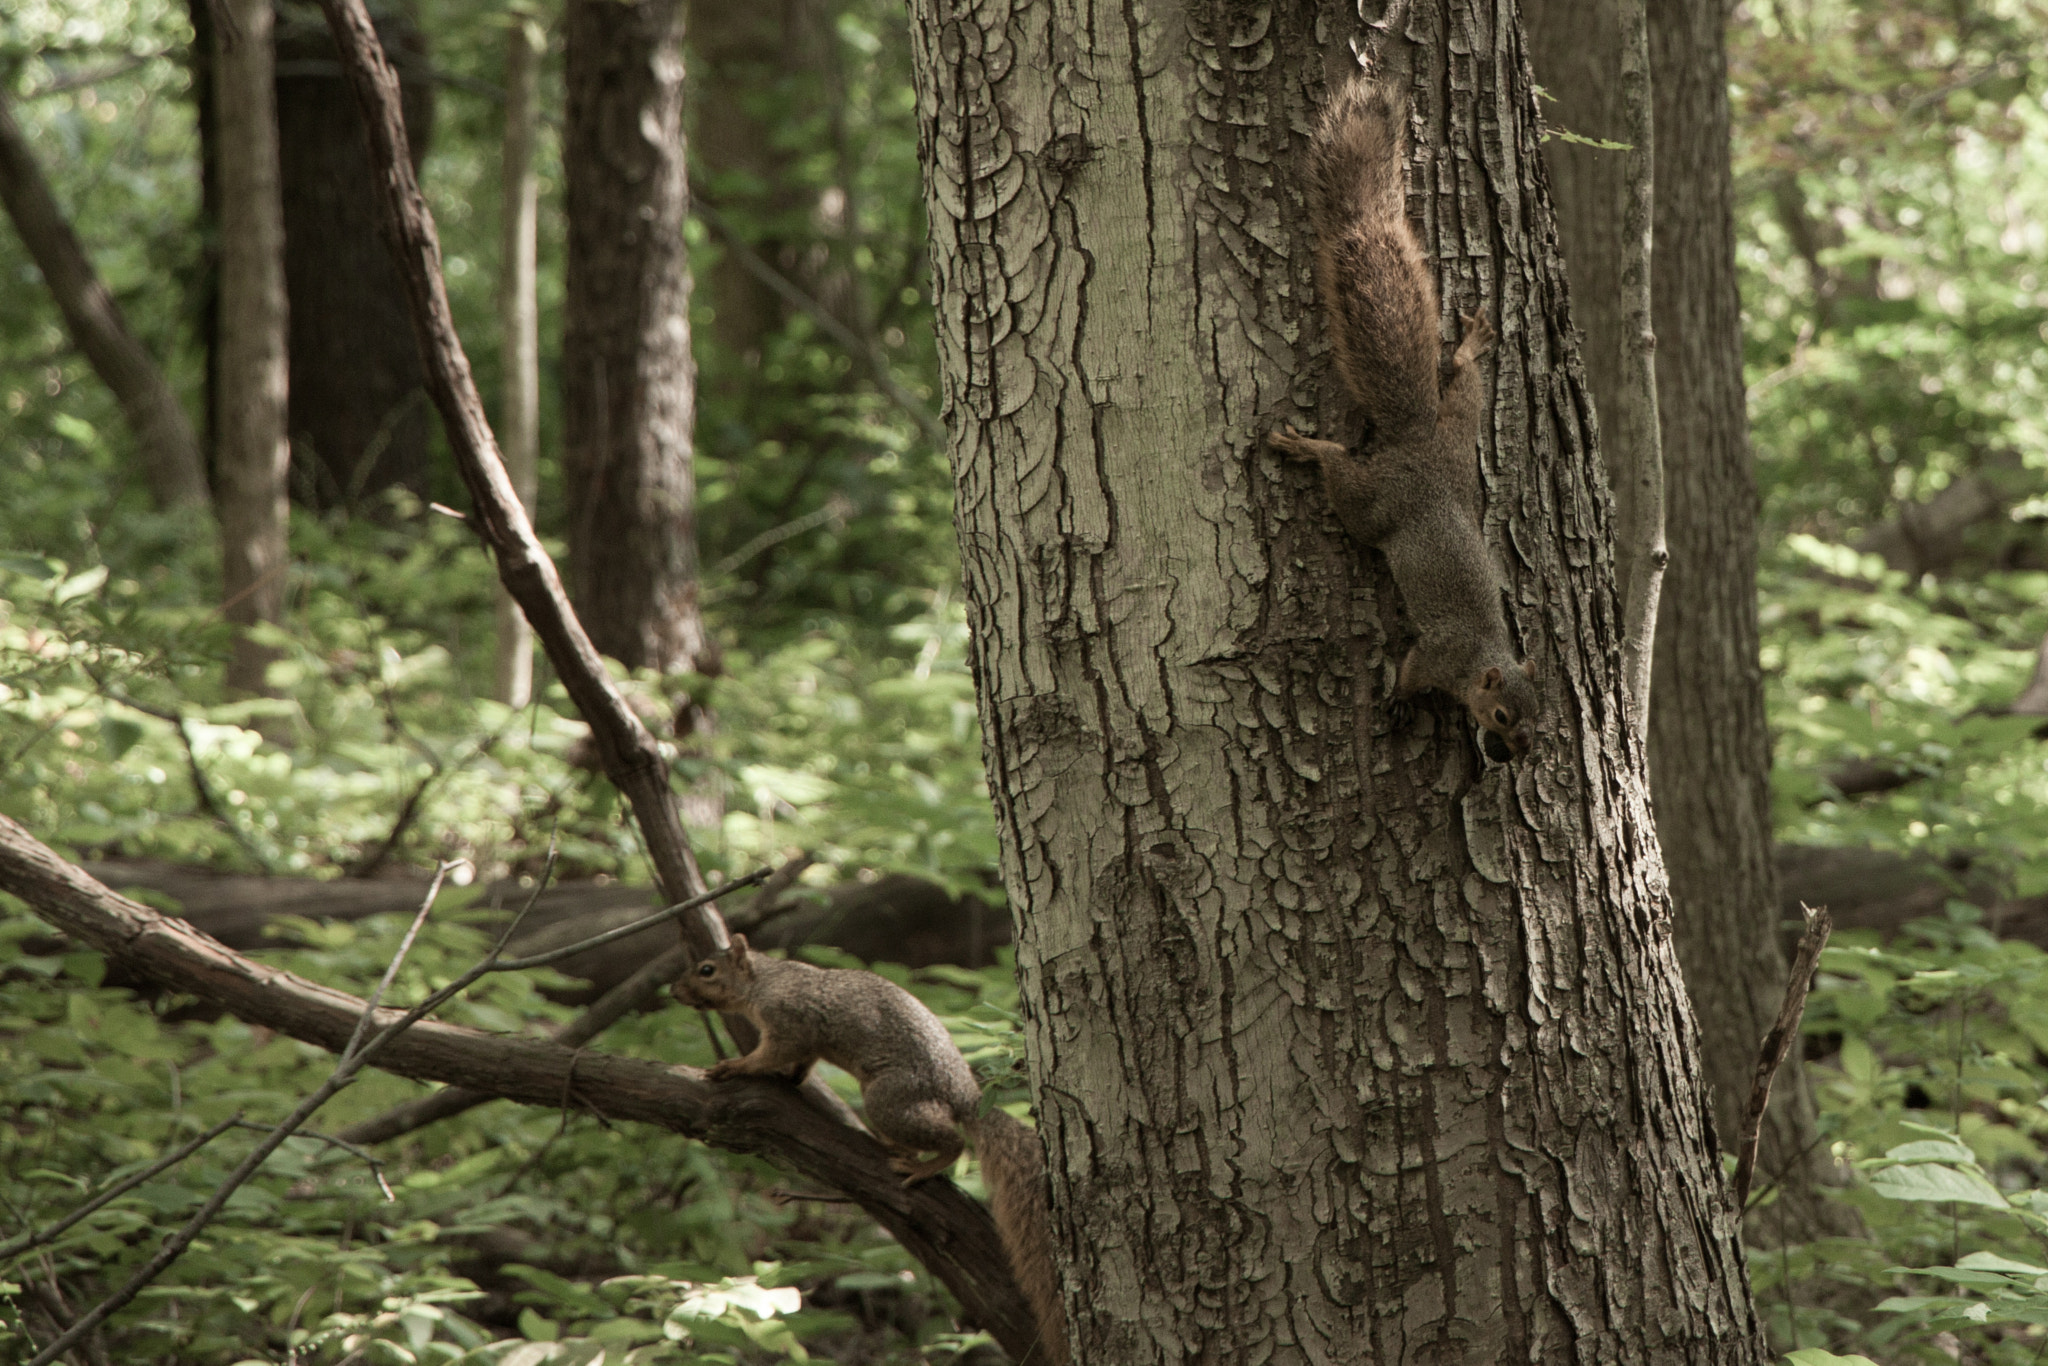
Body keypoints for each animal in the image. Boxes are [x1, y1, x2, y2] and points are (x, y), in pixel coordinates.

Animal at [674, 935, 1069, 1366]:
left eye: (707, 970)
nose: (675, 991)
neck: (766, 981)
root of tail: (964, 1094)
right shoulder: (804, 1041)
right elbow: (800, 1063)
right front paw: (788, 1078)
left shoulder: (789, 1022)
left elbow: (773, 1052)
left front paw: (735, 1065)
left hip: (888, 1100)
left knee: (953, 1141)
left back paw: (922, 1166)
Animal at [1265, 77, 1539, 759]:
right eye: (1501, 715)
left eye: (1539, 718)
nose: (1517, 753)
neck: (1481, 659)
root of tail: (1416, 444)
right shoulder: (1438, 656)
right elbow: (1411, 671)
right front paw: (1398, 701)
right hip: (1374, 502)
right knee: (1343, 474)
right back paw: (1307, 448)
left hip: (1458, 436)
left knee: (1463, 385)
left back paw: (1471, 346)